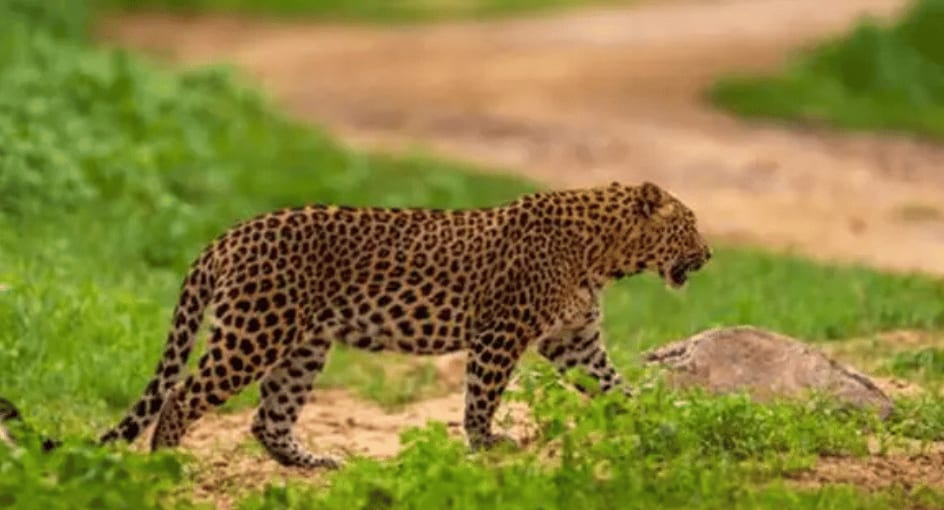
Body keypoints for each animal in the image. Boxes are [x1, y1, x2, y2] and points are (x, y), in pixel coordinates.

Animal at [90, 180, 711, 468]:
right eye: (689, 224)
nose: (708, 254)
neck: (605, 255)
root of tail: (225, 238)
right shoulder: (501, 332)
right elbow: (481, 396)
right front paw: (487, 445)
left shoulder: (573, 342)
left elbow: (615, 387)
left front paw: (657, 422)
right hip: (255, 333)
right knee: (182, 396)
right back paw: (166, 462)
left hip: (304, 346)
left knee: (268, 419)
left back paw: (314, 463)